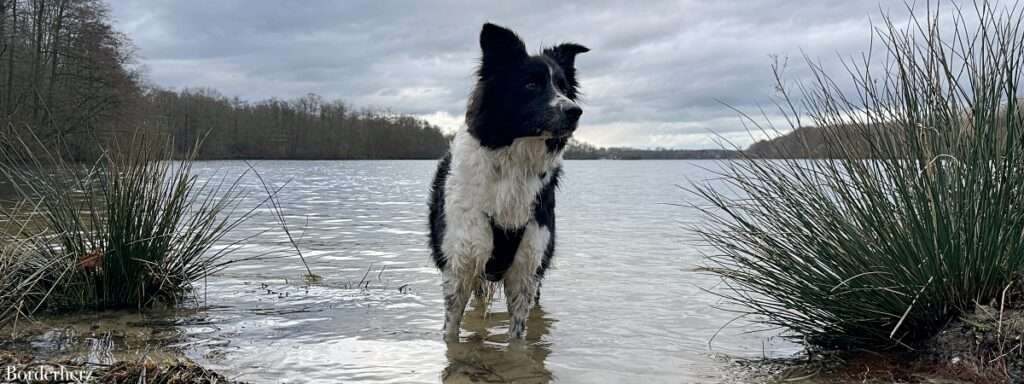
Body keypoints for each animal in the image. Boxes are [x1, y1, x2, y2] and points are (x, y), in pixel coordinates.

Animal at [423, 23, 585, 339]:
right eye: (531, 84)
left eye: (562, 87)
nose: (574, 111)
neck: (512, 165)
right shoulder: (459, 265)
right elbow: (451, 331)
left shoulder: (527, 269)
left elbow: (518, 336)